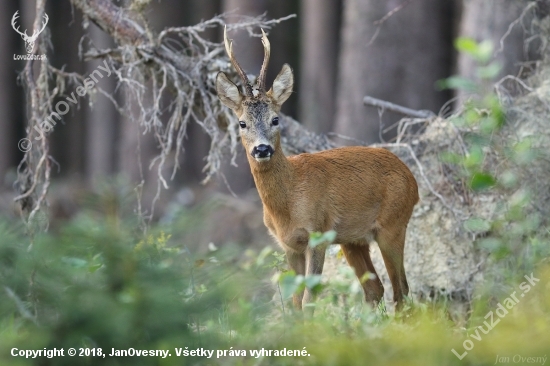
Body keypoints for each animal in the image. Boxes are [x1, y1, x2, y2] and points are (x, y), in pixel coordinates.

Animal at [218, 26, 420, 312]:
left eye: (275, 119)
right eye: (242, 123)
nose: (262, 149)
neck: (288, 202)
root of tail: (413, 181)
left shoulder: (318, 233)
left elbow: (309, 298)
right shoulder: (289, 244)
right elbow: (294, 301)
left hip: (393, 224)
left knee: (401, 289)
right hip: (353, 239)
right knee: (375, 288)